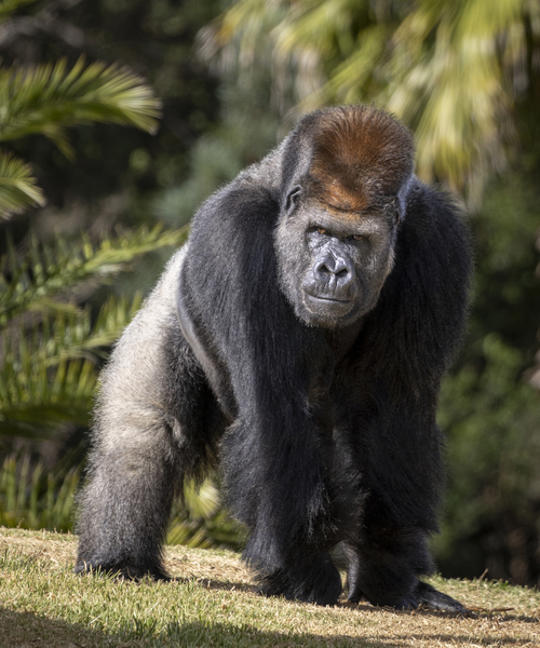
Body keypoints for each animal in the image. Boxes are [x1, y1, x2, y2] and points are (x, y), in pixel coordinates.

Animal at [76, 104, 472, 612]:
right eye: (319, 232)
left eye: (356, 240)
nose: (333, 269)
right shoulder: (236, 233)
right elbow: (274, 413)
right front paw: (302, 570)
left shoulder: (437, 241)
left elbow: (393, 413)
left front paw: (388, 569)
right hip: (165, 308)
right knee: (142, 436)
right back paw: (119, 560)